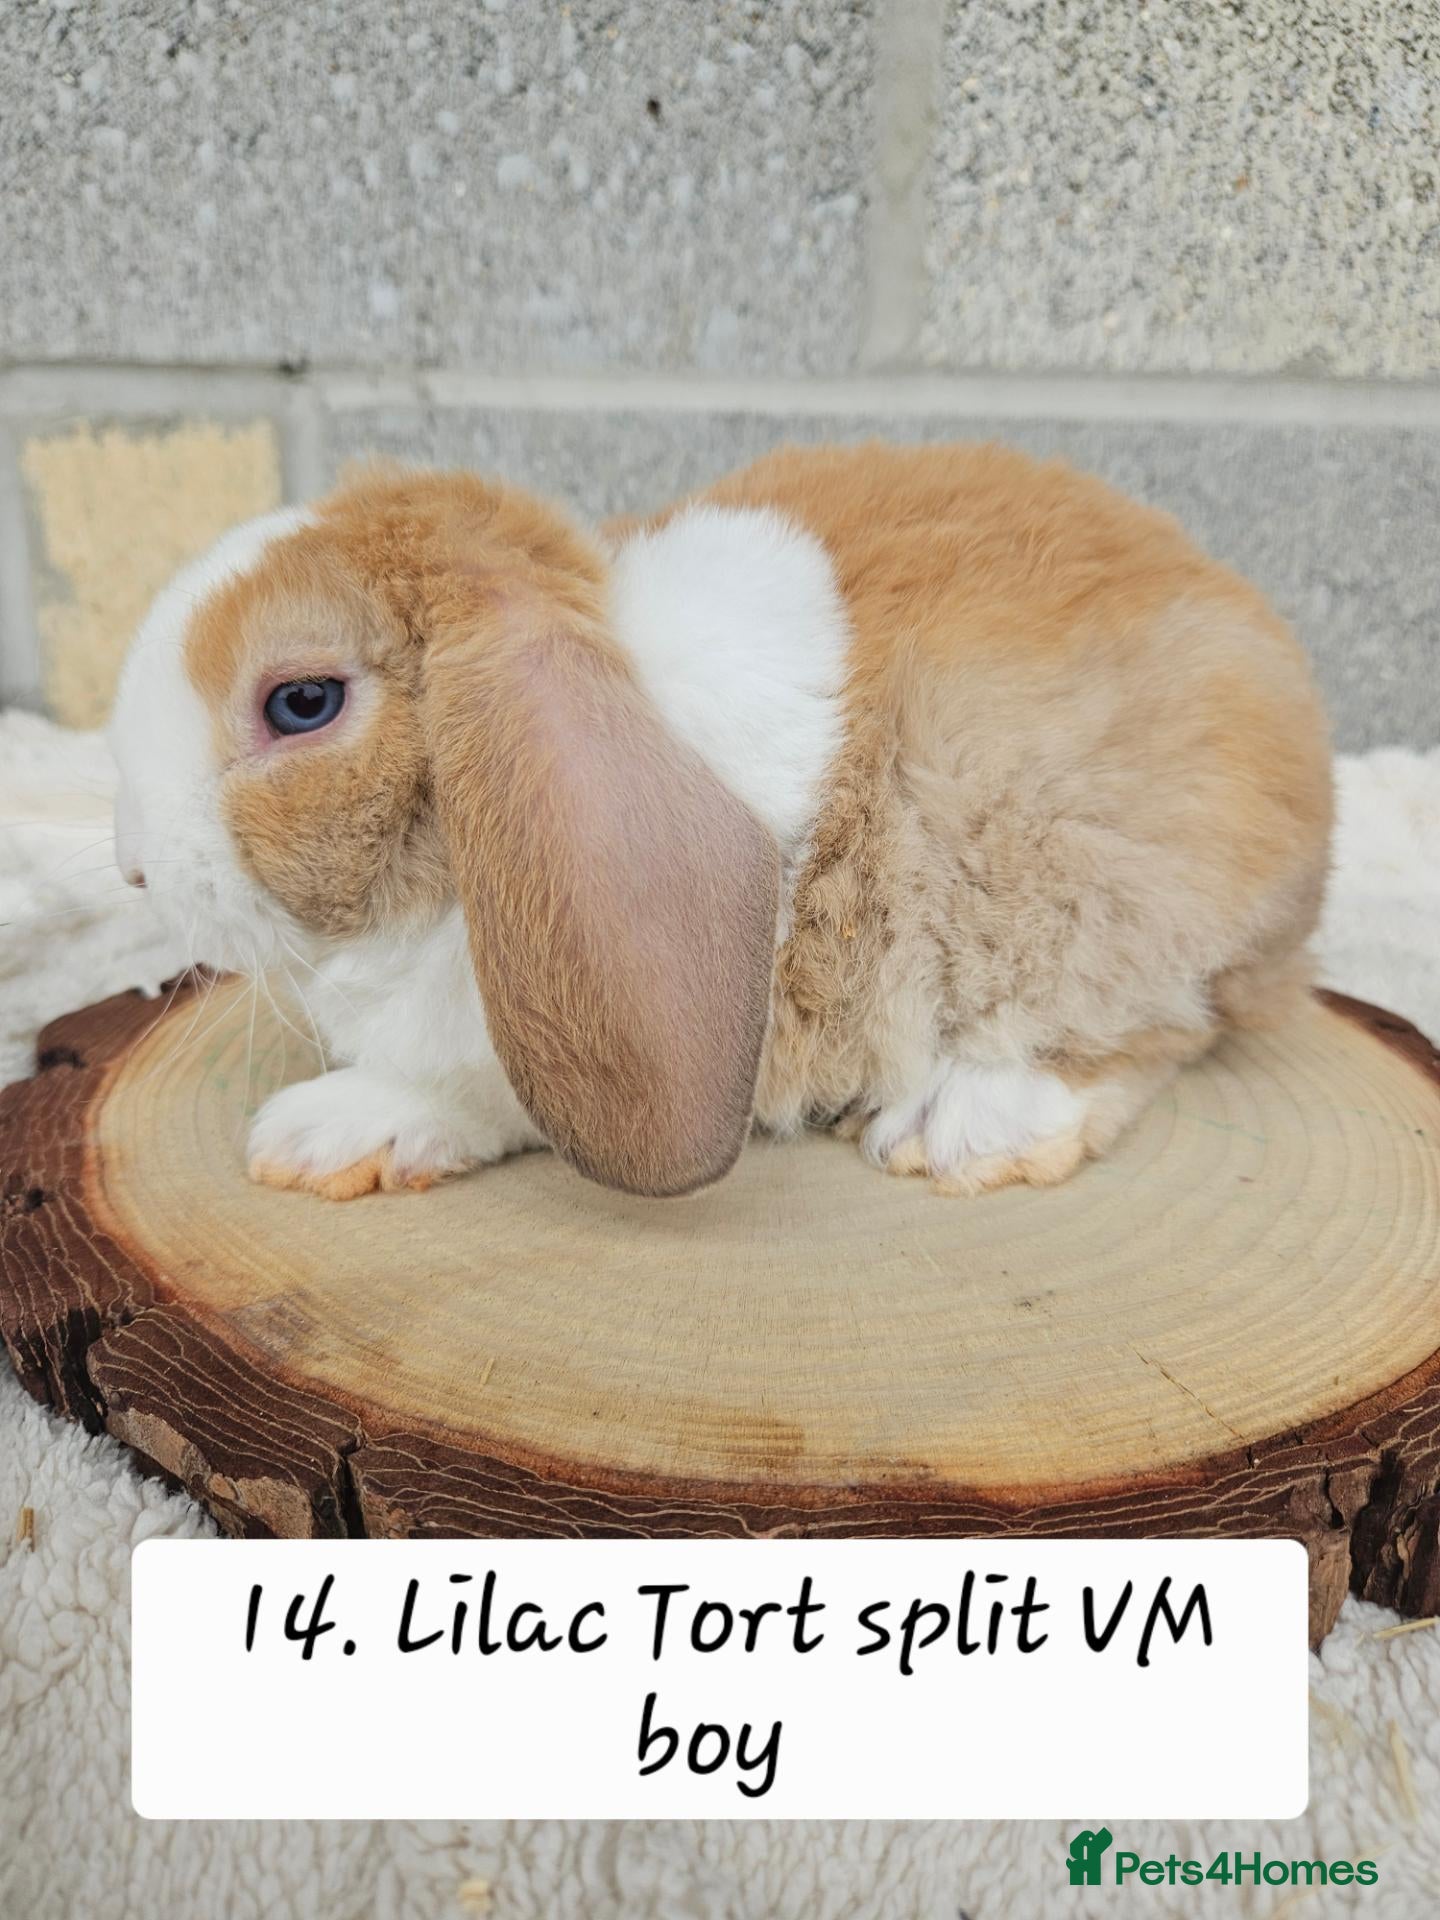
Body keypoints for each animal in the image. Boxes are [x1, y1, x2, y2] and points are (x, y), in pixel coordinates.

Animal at [109, 441, 1332, 1202]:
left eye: (303, 703)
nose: (129, 868)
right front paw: (319, 1148)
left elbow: (474, 1089)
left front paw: (317, 1132)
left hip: (1098, 893)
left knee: (1157, 1033)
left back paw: (957, 1130)